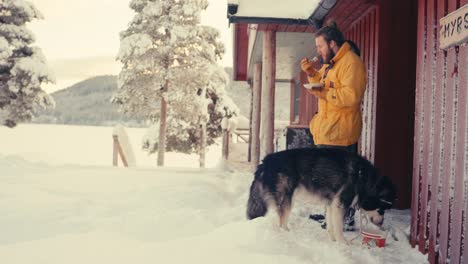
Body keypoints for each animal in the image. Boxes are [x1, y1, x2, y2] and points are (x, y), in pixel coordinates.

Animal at [247, 148, 396, 243]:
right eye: (382, 209)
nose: (381, 224)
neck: (364, 178)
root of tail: (266, 161)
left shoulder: (332, 204)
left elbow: (331, 225)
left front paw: (333, 240)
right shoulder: (341, 204)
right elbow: (339, 227)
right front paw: (343, 243)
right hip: (287, 200)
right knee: (282, 222)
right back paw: (287, 235)